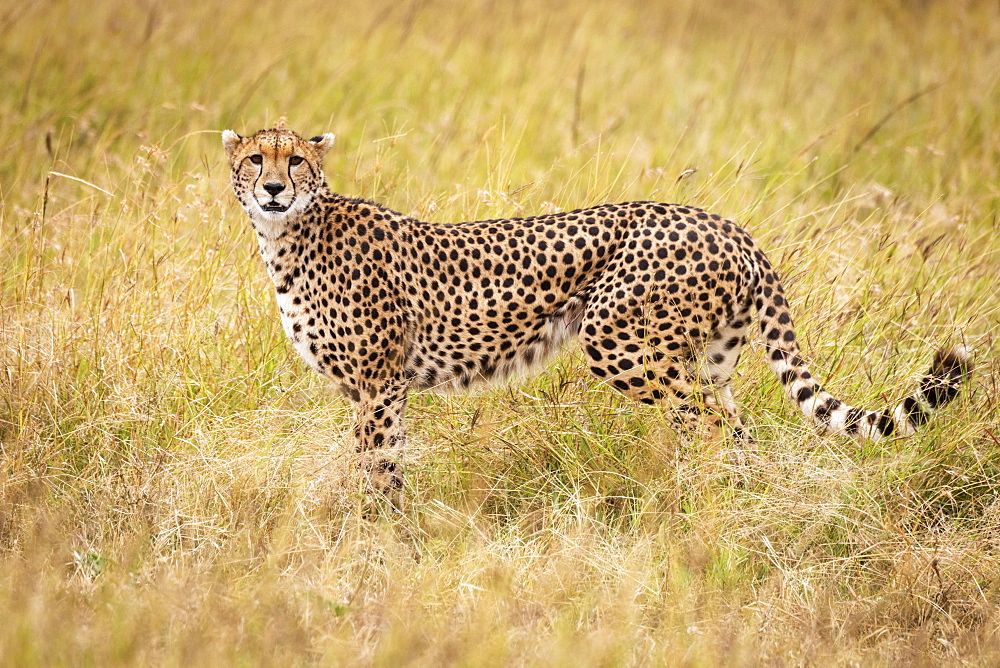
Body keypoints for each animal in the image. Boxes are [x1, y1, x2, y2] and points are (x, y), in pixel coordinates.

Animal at [223, 124, 972, 490]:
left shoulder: (379, 385)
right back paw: (736, 512)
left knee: (707, 432)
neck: (289, 234)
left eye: (295, 162)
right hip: (709, 362)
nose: (271, 189)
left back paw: (693, 516)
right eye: (258, 158)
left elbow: (377, 467)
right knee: (738, 434)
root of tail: (729, 223)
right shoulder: (373, 389)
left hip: (619, 341)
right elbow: (382, 462)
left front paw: (376, 544)